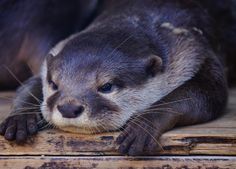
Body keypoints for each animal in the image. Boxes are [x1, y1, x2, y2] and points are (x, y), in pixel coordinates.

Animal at [0, 0, 233, 156]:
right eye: (54, 84)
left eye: (107, 86)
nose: (68, 108)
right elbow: (29, 86)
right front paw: (19, 119)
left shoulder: (195, 51)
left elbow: (208, 96)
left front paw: (142, 127)